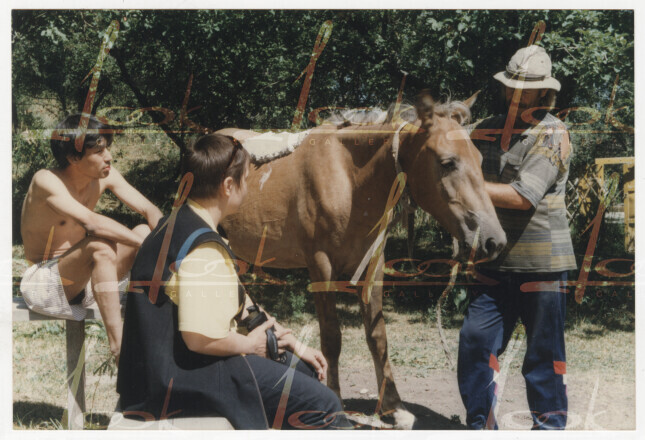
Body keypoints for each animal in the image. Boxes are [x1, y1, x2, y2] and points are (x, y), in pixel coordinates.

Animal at [218, 91, 508, 428]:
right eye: (447, 162)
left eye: (479, 159)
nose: (494, 240)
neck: (348, 179)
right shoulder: (321, 266)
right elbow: (332, 337)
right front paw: (335, 402)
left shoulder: (373, 264)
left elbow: (378, 336)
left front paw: (393, 407)